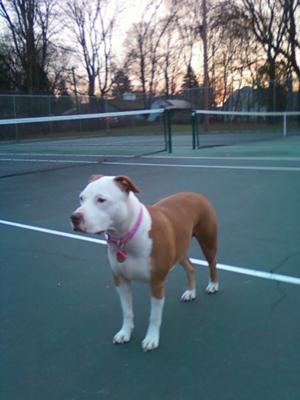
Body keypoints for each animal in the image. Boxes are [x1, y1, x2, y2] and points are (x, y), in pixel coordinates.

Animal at [71, 177, 219, 352]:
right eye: (81, 198)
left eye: (101, 200)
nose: (74, 217)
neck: (126, 236)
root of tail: (196, 194)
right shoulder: (121, 281)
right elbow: (127, 311)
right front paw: (125, 333)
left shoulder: (157, 282)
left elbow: (154, 316)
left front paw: (151, 339)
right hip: (180, 249)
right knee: (190, 267)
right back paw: (190, 292)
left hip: (207, 241)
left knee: (212, 263)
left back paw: (213, 285)